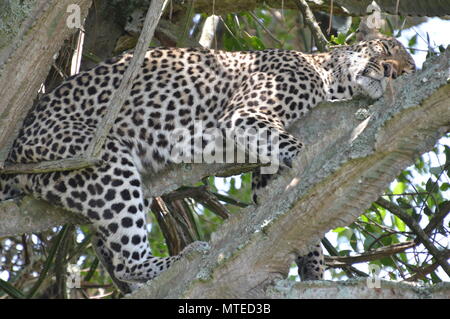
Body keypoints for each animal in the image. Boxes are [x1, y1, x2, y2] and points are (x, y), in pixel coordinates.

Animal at [0, 37, 414, 292]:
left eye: (409, 70)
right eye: (387, 48)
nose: (394, 72)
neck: (329, 76)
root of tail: (16, 146)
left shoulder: (265, 164)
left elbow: (285, 196)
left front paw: (313, 268)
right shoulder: (247, 115)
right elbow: (298, 151)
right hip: (98, 156)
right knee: (127, 258)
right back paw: (178, 260)